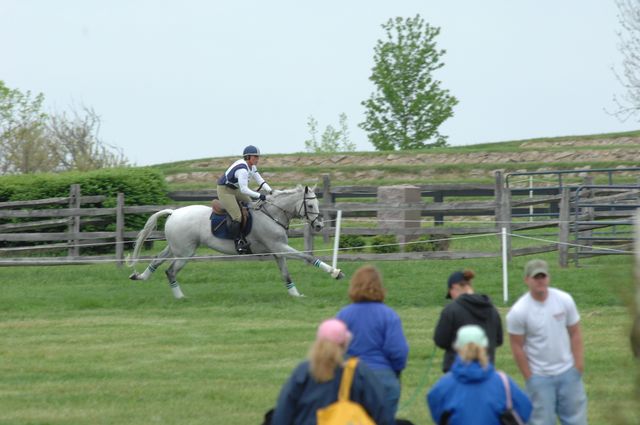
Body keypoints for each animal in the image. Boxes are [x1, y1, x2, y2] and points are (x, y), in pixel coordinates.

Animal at [126, 186, 344, 298]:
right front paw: (335, 273)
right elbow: (307, 256)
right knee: (170, 270)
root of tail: (174, 212)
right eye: (310, 205)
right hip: (185, 252)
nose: (319, 225)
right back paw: (181, 297)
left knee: (157, 260)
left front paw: (296, 295)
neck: (273, 214)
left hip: (175, 247)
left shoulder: (277, 251)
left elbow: (285, 274)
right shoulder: (280, 247)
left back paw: (141, 277)